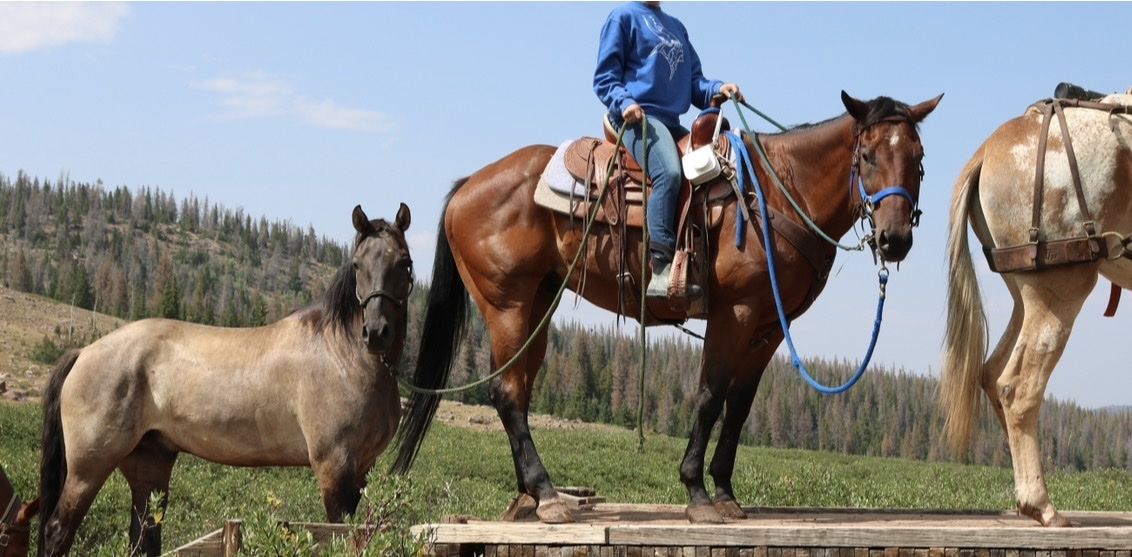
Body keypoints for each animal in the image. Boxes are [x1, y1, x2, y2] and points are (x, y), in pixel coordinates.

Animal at [37, 204, 414, 556]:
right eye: (357, 265)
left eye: (404, 263)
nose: (376, 332)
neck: (343, 355)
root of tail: (83, 353)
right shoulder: (334, 466)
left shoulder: (362, 467)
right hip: (87, 469)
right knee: (58, 531)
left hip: (149, 463)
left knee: (144, 536)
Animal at [392, 91, 942, 524]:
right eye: (866, 155)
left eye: (918, 157)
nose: (894, 239)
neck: (776, 196)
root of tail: (467, 186)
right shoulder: (735, 314)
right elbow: (709, 397)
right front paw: (697, 492)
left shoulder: (768, 327)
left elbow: (740, 406)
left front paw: (725, 492)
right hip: (506, 304)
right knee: (507, 393)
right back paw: (546, 494)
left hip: (538, 307)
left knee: (519, 390)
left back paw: (528, 497)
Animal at [942, 90, 1132, 527]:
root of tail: (987, 151)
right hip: (1059, 293)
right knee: (1018, 387)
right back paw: (1040, 504)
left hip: (1024, 296)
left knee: (992, 374)